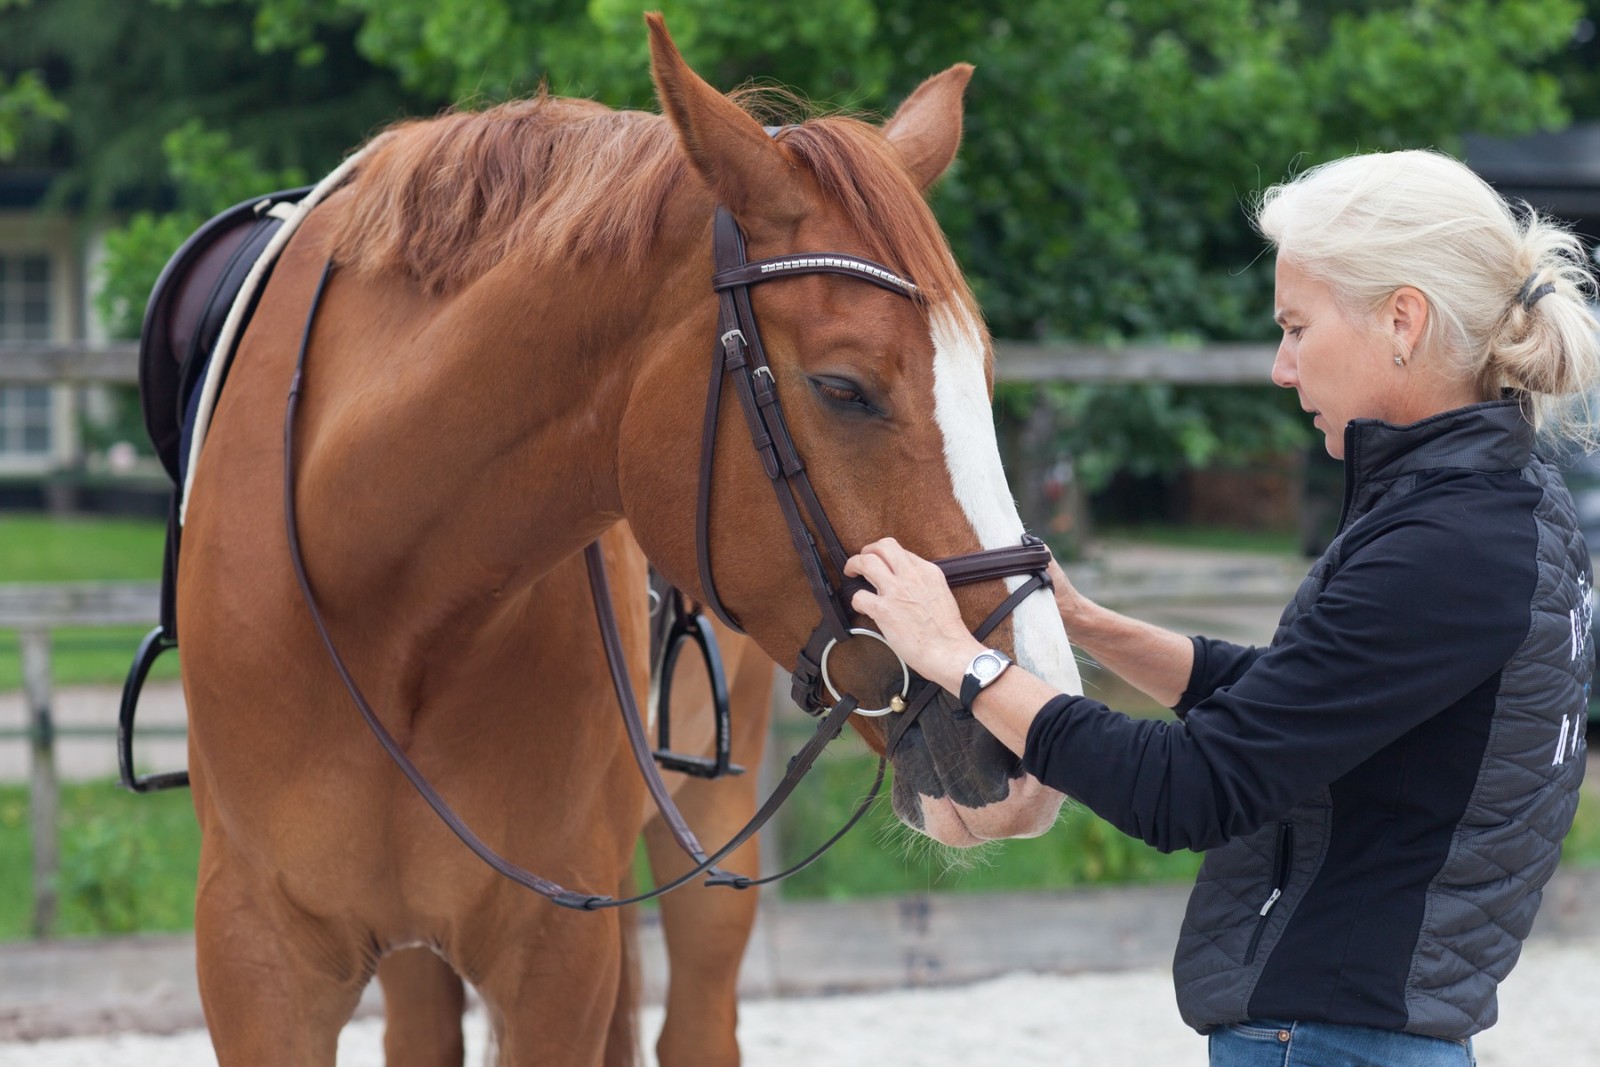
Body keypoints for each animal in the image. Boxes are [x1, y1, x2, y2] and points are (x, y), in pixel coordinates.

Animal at [175, 16, 1081, 1067]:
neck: (384, 610)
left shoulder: (557, 953)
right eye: (843, 388)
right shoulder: (255, 958)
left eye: (983, 377)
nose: (1025, 734)